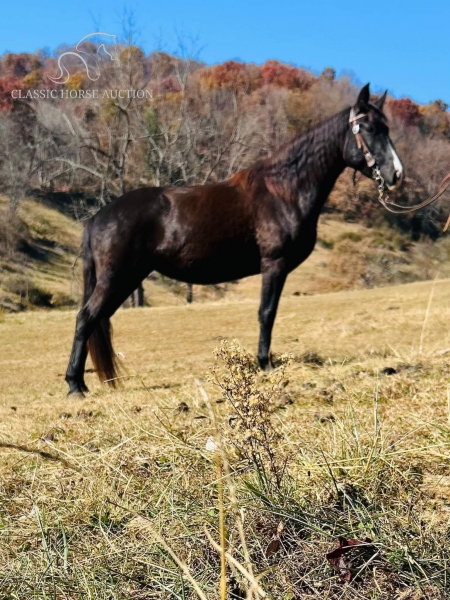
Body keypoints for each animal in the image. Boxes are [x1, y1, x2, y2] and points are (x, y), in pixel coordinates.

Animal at [64, 82, 404, 396]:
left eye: (388, 127)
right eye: (369, 128)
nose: (396, 174)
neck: (284, 190)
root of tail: (98, 217)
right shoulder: (274, 264)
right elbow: (267, 313)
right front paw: (264, 363)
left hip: (126, 279)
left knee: (98, 320)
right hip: (116, 278)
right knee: (85, 318)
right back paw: (75, 384)